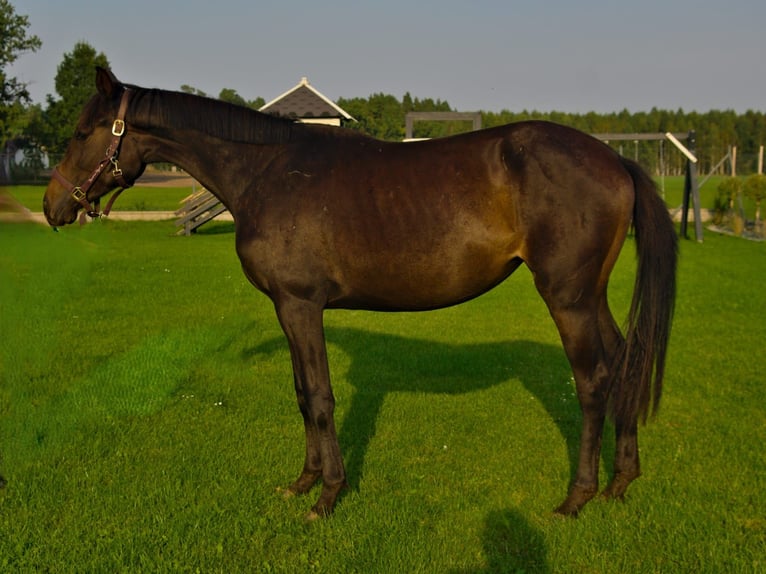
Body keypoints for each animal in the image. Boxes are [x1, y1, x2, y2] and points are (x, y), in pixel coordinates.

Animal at [43, 68, 680, 520]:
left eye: (82, 133)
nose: (53, 208)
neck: (267, 171)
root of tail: (615, 159)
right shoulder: (287, 309)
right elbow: (302, 395)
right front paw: (301, 483)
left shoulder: (301, 305)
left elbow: (322, 398)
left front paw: (328, 496)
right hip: (591, 297)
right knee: (624, 365)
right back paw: (621, 482)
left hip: (567, 298)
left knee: (594, 381)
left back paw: (578, 497)